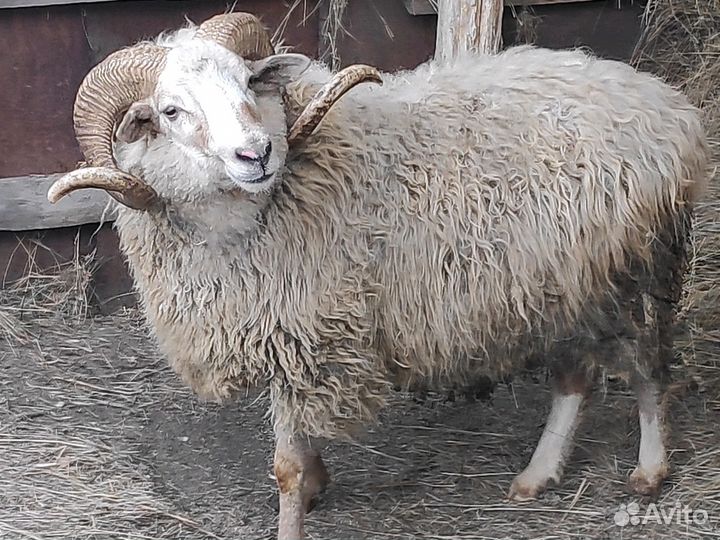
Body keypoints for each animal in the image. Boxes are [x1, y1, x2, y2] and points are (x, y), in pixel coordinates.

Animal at [47, 12, 709, 540]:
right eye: (170, 111)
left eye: (249, 82)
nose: (256, 153)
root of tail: (669, 107)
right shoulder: (286, 337)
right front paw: (318, 482)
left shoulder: (309, 335)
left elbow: (286, 468)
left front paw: (296, 509)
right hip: (565, 283)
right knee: (577, 374)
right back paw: (538, 475)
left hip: (635, 267)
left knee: (648, 367)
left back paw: (649, 470)